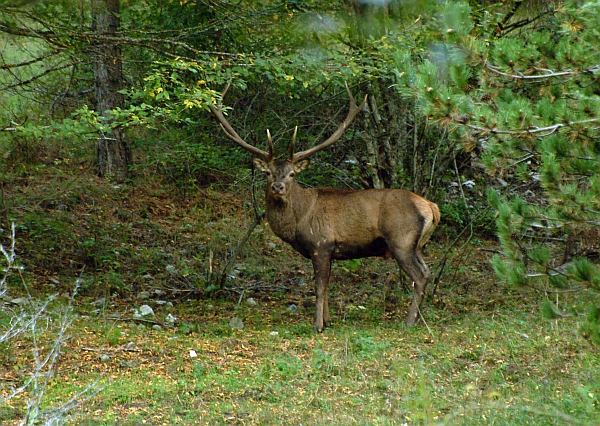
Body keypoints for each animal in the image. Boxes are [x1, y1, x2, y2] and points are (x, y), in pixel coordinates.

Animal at [209, 81, 438, 332]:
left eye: (291, 174)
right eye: (268, 173)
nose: (278, 187)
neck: (298, 221)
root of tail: (431, 207)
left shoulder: (321, 243)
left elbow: (319, 287)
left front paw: (317, 325)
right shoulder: (330, 251)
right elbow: (327, 286)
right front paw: (328, 321)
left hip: (401, 240)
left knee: (419, 276)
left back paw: (409, 321)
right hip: (417, 245)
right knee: (428, 272)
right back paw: (419, 318)